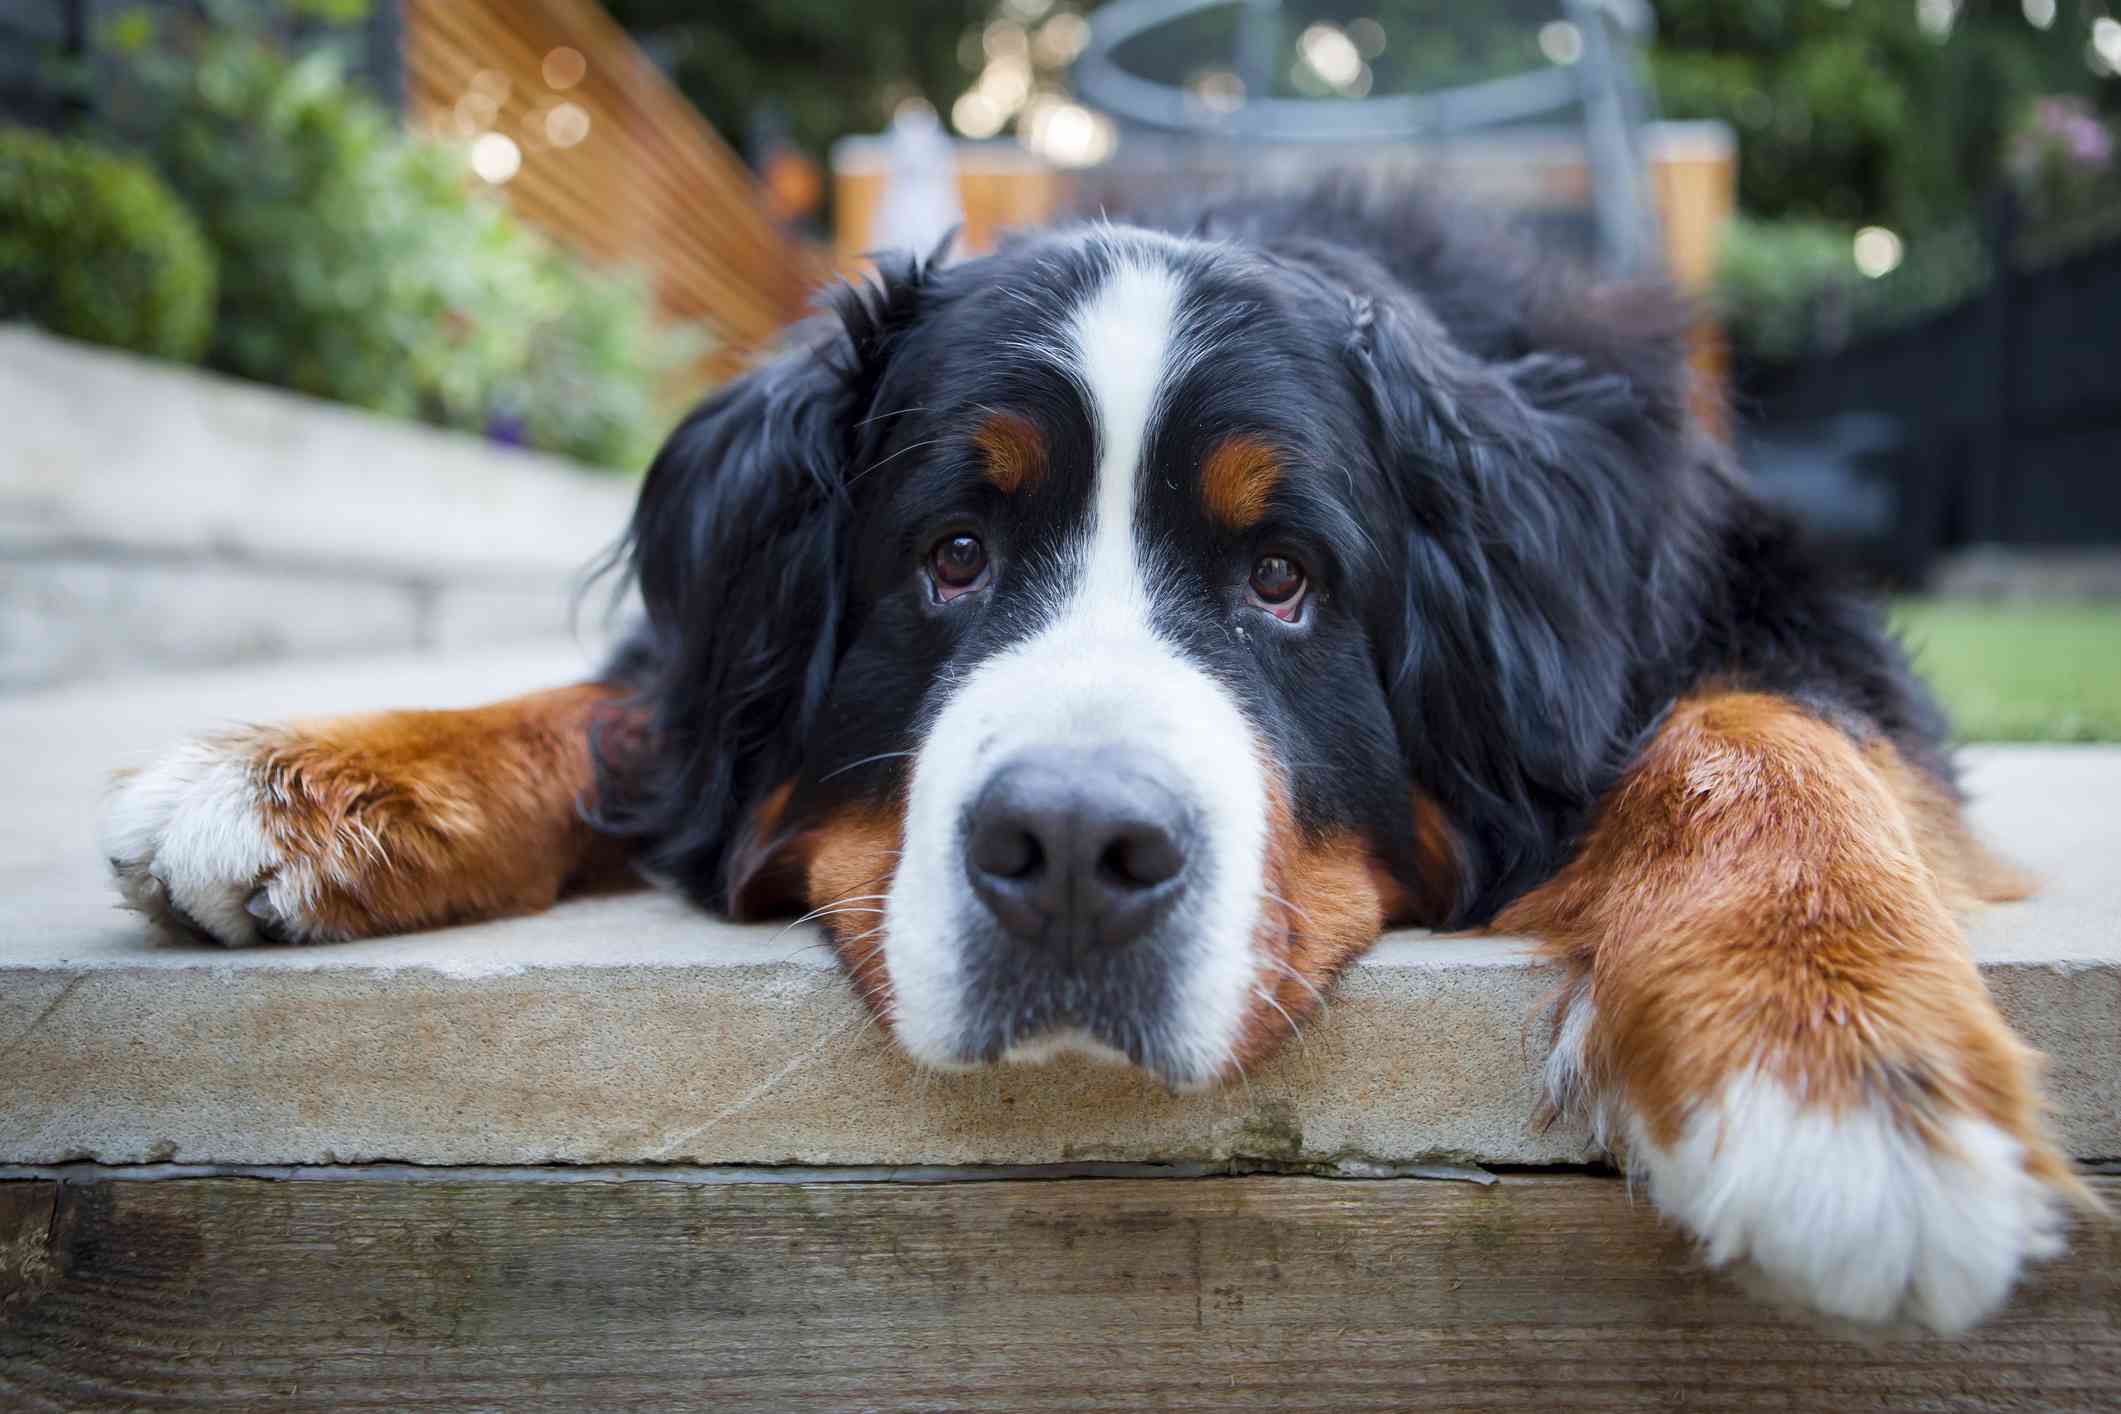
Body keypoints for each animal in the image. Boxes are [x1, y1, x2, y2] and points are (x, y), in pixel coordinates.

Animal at [95, 187, 2087, 1339]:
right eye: (952, 555)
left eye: (1284, 580)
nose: (1068, 847)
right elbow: (626, 709)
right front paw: (305, 777)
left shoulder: (1761, 609)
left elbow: (1759, 729)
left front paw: (1829, 1066)